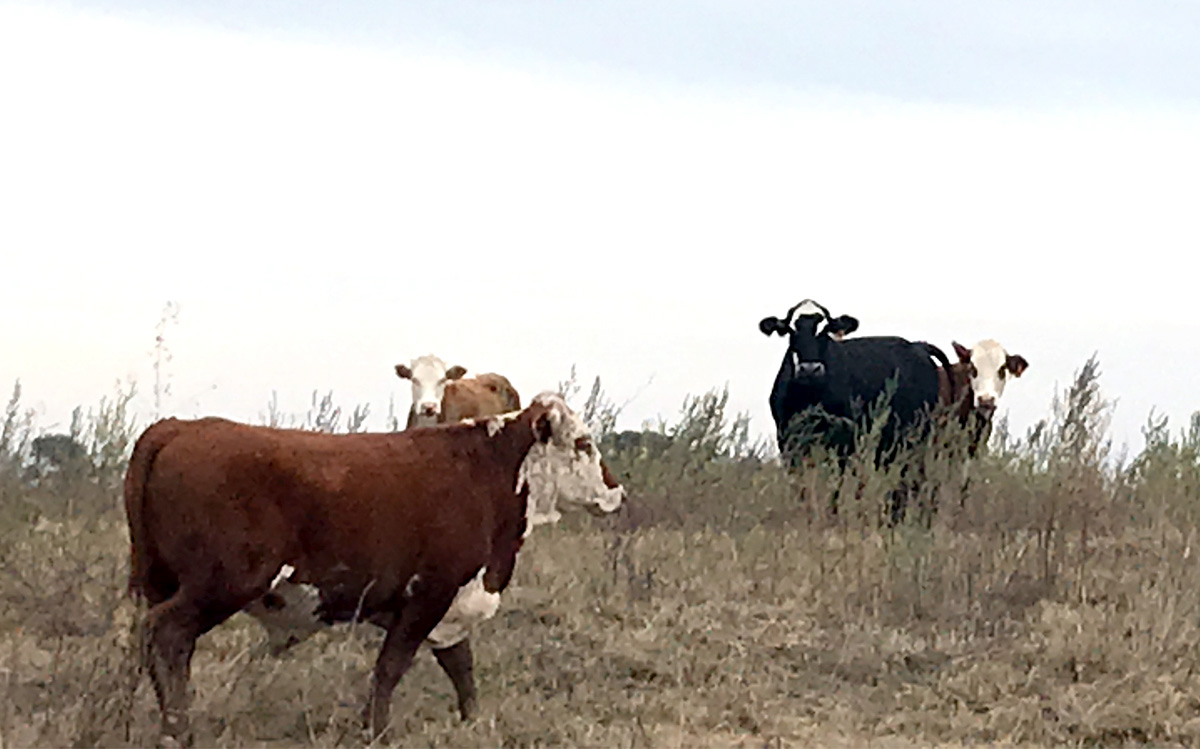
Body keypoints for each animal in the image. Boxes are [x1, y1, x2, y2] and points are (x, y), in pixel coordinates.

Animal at [125, 391, 624, 744]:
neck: (485, 472)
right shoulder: (431, 593)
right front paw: (376, 731)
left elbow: (460, 667)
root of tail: (177, 428)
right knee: (166, 634)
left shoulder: (445, 604)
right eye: (584, 443)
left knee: (167, 649)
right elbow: (391, 668)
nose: (616, 491)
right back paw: (178, 730)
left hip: (163, 582)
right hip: (221, 584)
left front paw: (473, 723)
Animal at [758, 298, 955, 520]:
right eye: (791, 329)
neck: (809, 396)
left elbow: (836, 484)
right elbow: (798, 485)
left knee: (916, 479)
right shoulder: (787, 439)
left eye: (825, 329)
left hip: (917, 434)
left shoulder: (842, 441)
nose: (810, 369)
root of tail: (917, 346)